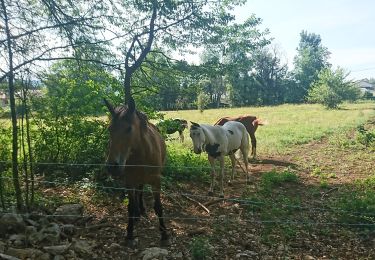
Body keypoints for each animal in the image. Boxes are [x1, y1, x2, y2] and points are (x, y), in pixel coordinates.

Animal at [102, 97, 168, 246]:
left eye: (129, 128)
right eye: (110, 129)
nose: (112, 166)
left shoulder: (156, 181)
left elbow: (158, 207)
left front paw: (164, 234)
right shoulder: (129, 181)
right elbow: (131, 206)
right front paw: (129, 232)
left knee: (141, 190)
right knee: (139, 192)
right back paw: (138, 212)